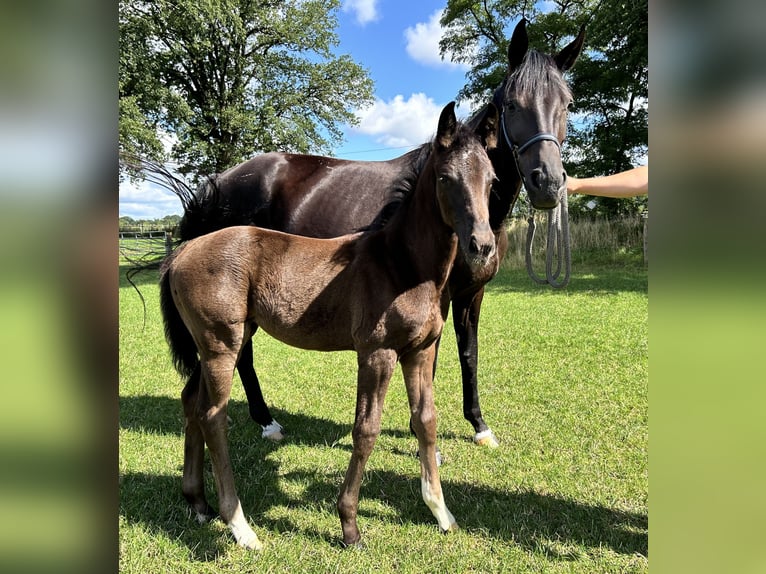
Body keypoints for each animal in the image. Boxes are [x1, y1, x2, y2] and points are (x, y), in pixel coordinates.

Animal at [171, 18, 584, 450]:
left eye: (567, 104)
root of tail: (219, 182)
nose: (547, 182)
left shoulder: (473, 293)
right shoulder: (440, 296)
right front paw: (419, 430)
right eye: (512, 104)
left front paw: (478, 425)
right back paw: (266, 421)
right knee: (242, 355)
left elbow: (468, 353)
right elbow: (432, 360)